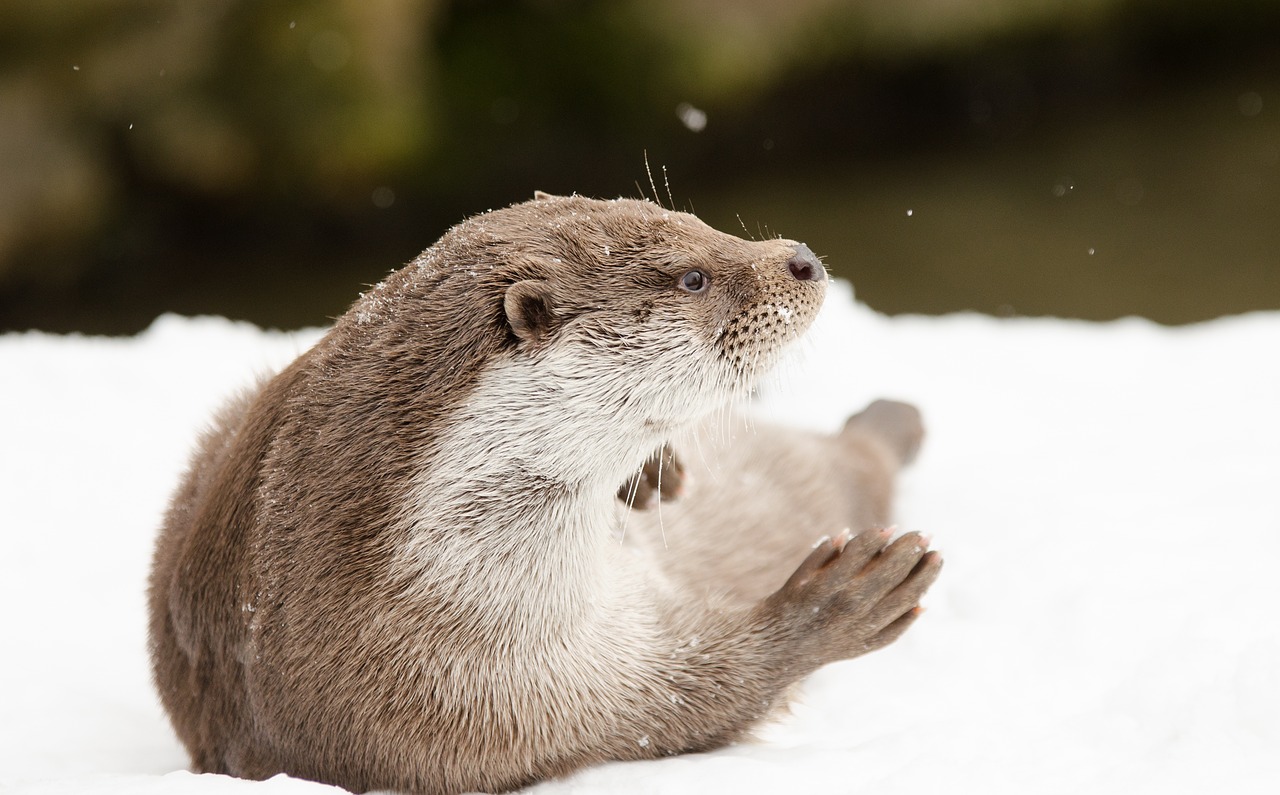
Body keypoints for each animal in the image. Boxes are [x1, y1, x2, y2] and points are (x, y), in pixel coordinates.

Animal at [147, 193, 942, 793]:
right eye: (692, 279)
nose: (802, 257)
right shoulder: (492, 705)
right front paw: (839, 601)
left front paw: (655, 474)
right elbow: (692, 700)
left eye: (698, 222)